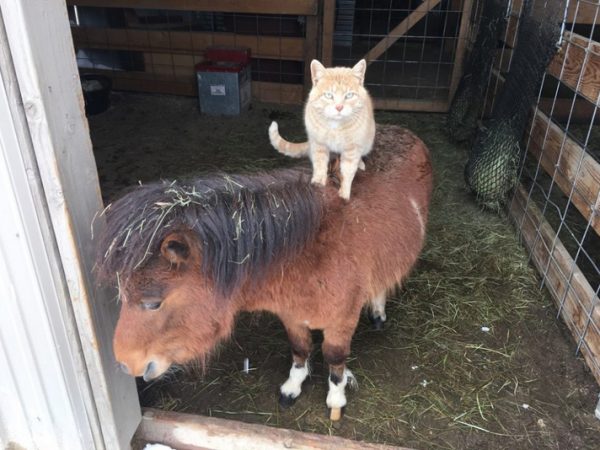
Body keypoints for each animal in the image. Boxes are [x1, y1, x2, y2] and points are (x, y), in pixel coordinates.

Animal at [95, 125, 432, 420]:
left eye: (153, 302)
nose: (124, 364)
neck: (309, 251)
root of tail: (404, 132)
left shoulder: (341, 322)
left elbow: (335, 357)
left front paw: (336, 398)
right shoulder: (291, 315)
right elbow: (300, 349)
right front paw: (293, 387)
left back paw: (377, 312)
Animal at [268, 59, 372, 200]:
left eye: (349, 95)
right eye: (328, 95)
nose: (339, 107)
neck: (335, 125)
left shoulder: (352, 149)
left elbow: (348, 171)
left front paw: (344, 194)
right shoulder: (318, 143)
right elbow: (320, 163)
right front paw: (318, 182)